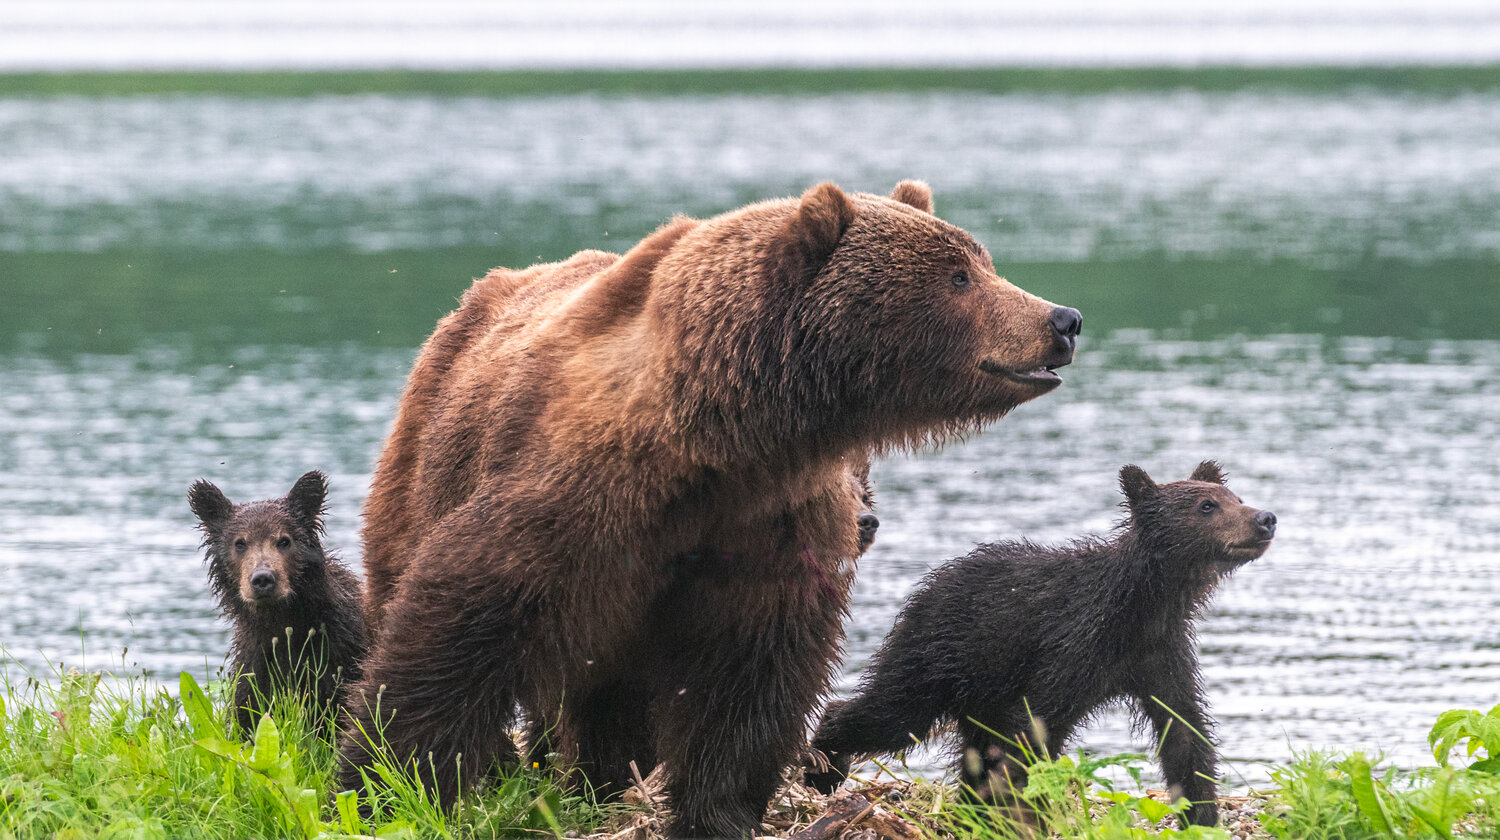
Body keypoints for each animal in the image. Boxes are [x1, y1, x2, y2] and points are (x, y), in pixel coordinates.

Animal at [188, 470, 368, 738]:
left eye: (284, 541)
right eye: (240, 543)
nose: (263, 579)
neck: (283, 619)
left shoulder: (337, 654)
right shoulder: (255, 664)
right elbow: (247, 718)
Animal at [337, 180, 1081, 837]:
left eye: (982, 262)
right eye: (959, 276)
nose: (1063, 320)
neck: (718, 441)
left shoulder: (763, 525)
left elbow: (749, 675)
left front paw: (716, 813)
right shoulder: (574, 492)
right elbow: (462, 621)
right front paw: (384, 780)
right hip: (421, 463)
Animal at [804, 461, 1276, 829]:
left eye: (1235, 497)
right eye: (1207, 506)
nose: (1265, 517)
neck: (1143, 605)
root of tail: (930, 585)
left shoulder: (1160, 653)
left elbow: (1184, 732)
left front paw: (1202, 817)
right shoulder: (1074, 645)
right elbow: (1036, 731)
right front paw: (1025, 813)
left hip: (983, 686)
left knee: (972, 746)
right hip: (937, 653)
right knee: (891, 712)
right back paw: (824, 765)